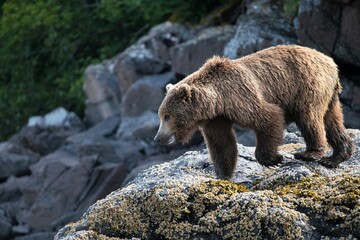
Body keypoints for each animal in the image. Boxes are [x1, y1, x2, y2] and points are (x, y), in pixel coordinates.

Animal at [153, 45, 352, 180]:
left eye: (167, 116)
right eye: (161, 115)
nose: (158, 138)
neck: (217, 100)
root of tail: (331, 62)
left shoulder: (240, 96)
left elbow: (268, 116)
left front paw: (274, 158)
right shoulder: (216, 119)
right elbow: (221, 143)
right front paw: (222, 174)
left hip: (307, 84)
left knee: (309, 117)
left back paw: (310, 153)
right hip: (329, 93)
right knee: (332, 120)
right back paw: (335, 157)